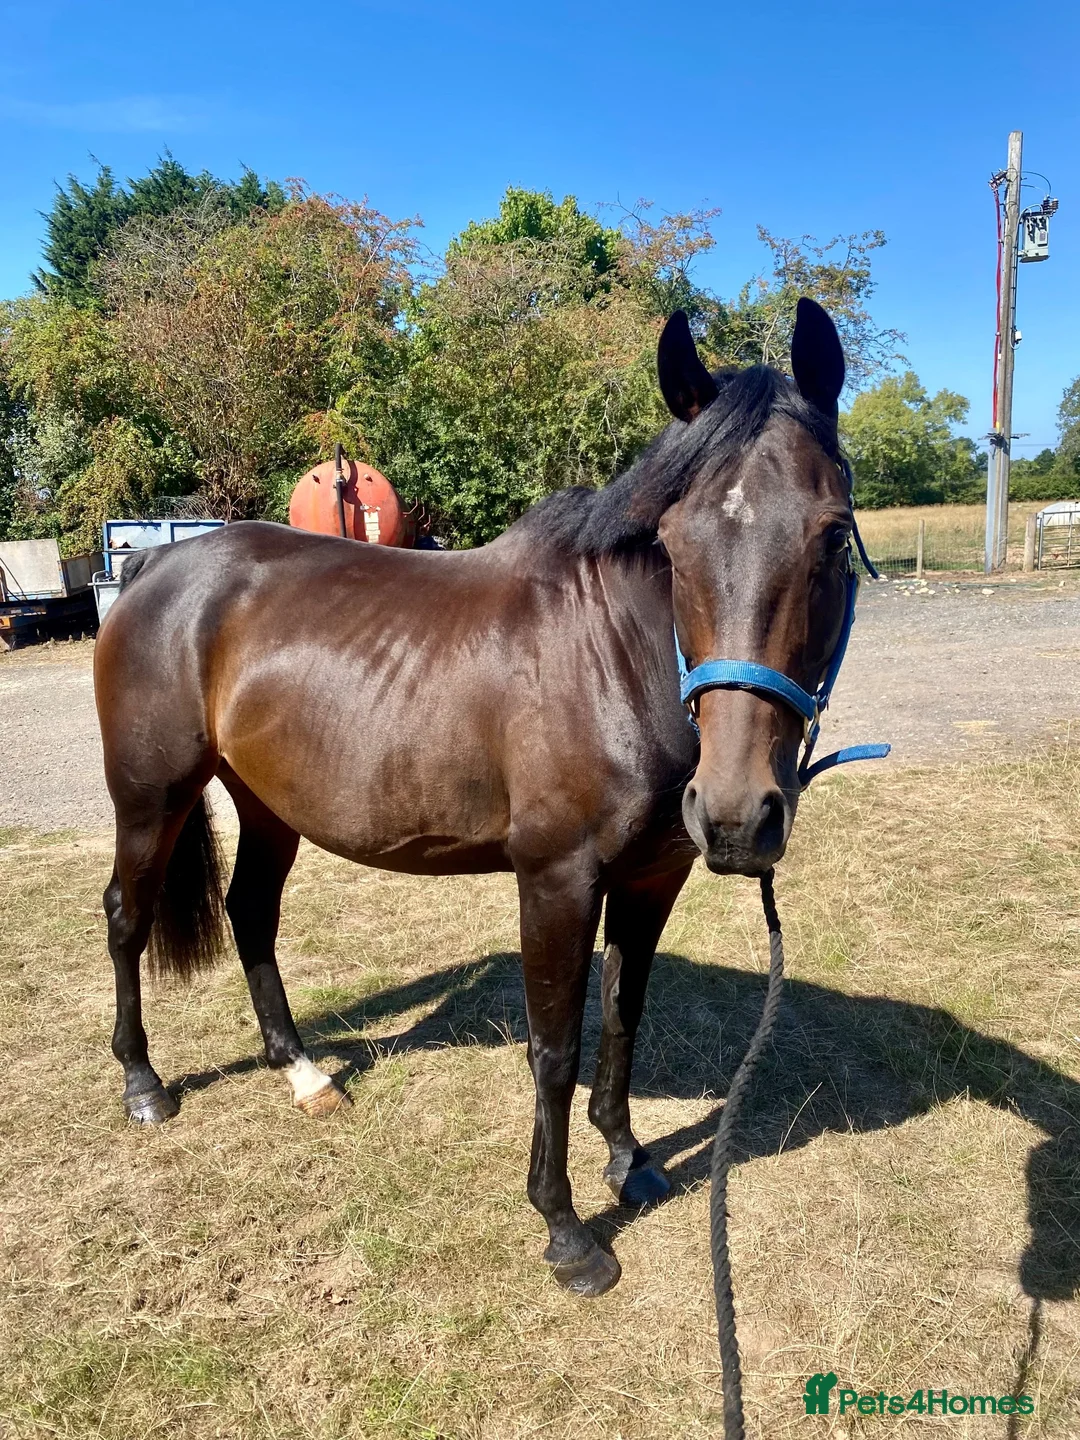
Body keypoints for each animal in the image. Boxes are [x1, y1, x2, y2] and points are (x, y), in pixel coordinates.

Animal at [95, 297, 857, 1299]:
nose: (737, 814)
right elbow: (555, 1048)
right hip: (152, 800)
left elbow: (623, 1016)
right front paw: (567, 1231)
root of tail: (154, 573)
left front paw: (631, 1160)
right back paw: (144, 1085)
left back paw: (302, 1073)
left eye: (833, 536)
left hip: (267, 806)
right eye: (673, 543)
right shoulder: (557, 879)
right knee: (127, 917)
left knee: (250, 912)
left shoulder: (652, 878)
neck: (611, 655)